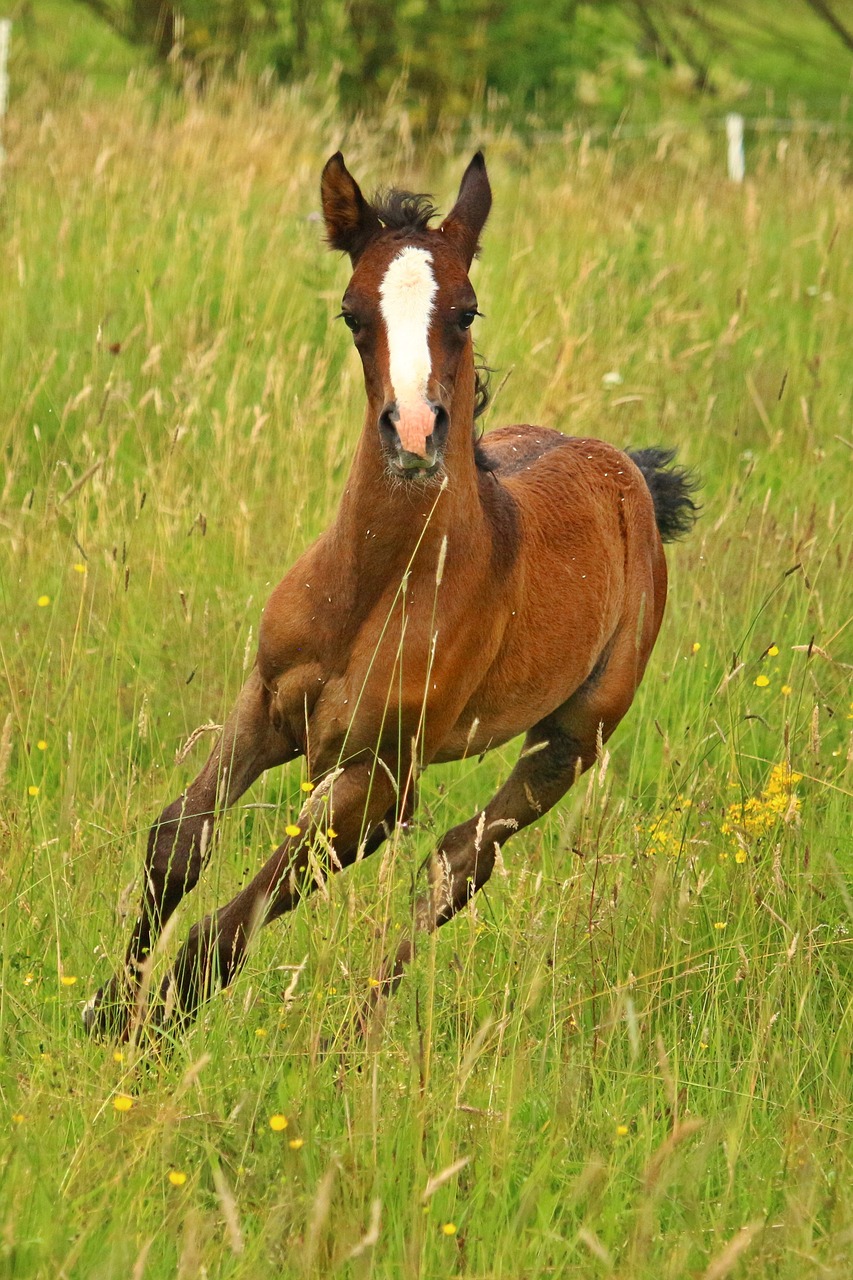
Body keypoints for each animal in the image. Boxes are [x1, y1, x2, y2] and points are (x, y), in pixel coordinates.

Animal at [84, 149, 696, 1039]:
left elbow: (231, 923)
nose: (412, 433)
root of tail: (628, 473)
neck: (373, 588)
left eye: (467, 312)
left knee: (458, 865)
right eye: (351, 314)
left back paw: (355, 1038)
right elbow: (179, 842)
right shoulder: (264, 700)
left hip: (571, 740)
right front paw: (106, 1013)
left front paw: (156, 1027)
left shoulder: (380, 782)